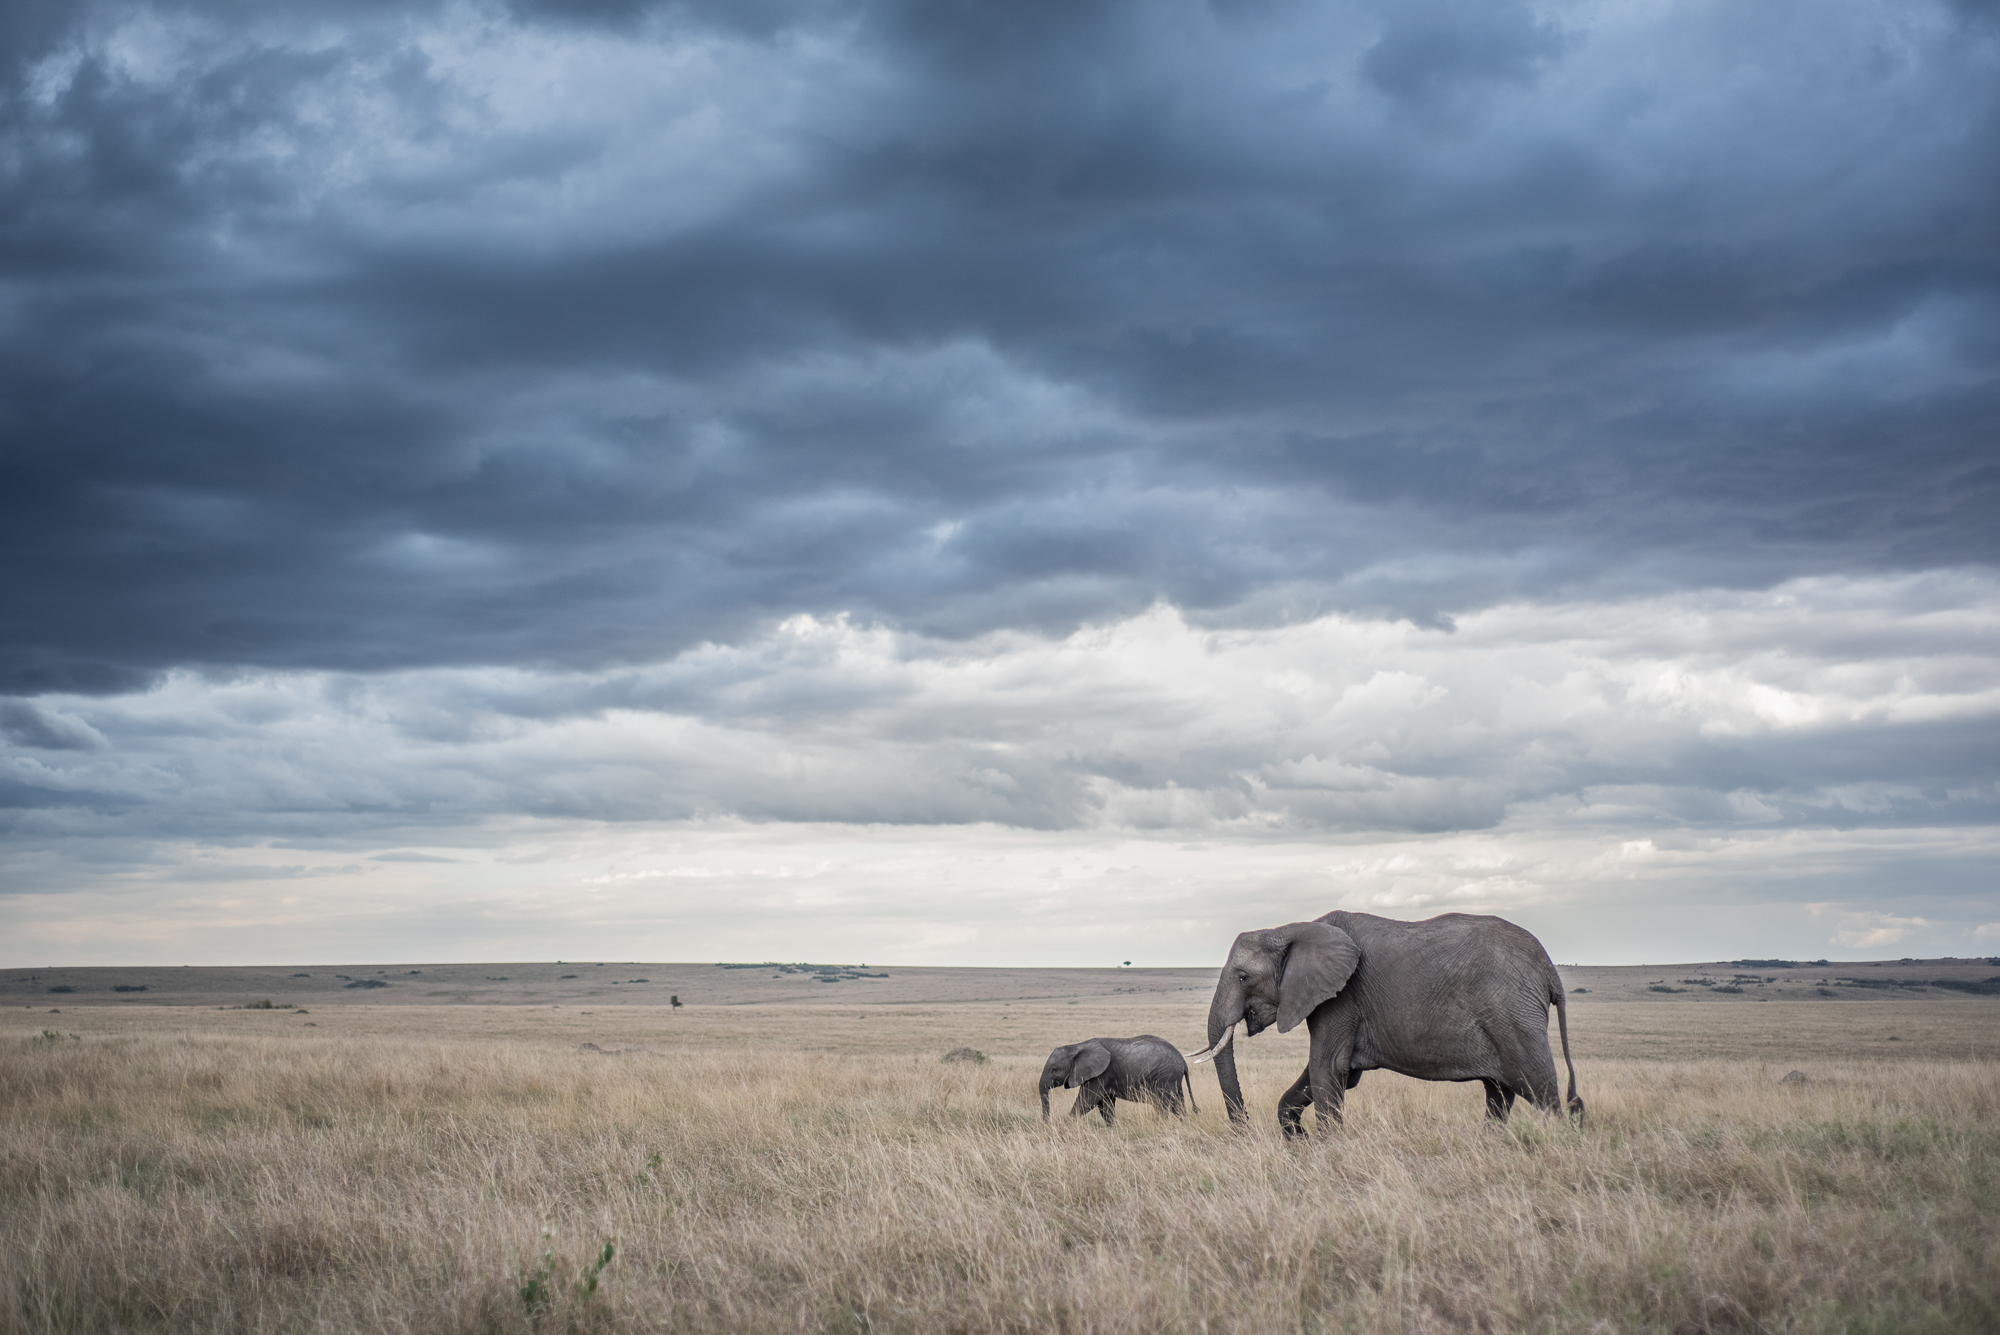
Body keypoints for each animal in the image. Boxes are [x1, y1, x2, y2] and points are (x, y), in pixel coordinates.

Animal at [1040, 1039, 1192, 1119]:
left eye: (1055, 1070)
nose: (1047, 1124)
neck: (1077, 1046)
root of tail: (1183, 1061)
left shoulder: (1100, 1074)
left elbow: (1087, 1101)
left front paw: (1067, 1123)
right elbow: (1105, 1104)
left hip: (1165, 1076)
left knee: (1163, 1104)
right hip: (1173, 1078)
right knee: (1178, 1103)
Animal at [1184, 907, 1576, 1135]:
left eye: (1243, 977)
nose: (1243, 1128)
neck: (1291, 928)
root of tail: (1549, 970)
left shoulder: (1342, 997)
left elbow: (1327, 1067)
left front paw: (1326, 1148)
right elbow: (1324, 1074)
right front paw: (1298, 1139)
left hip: (1514, 1014)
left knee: (1540, 1088)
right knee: (1498, 1093)